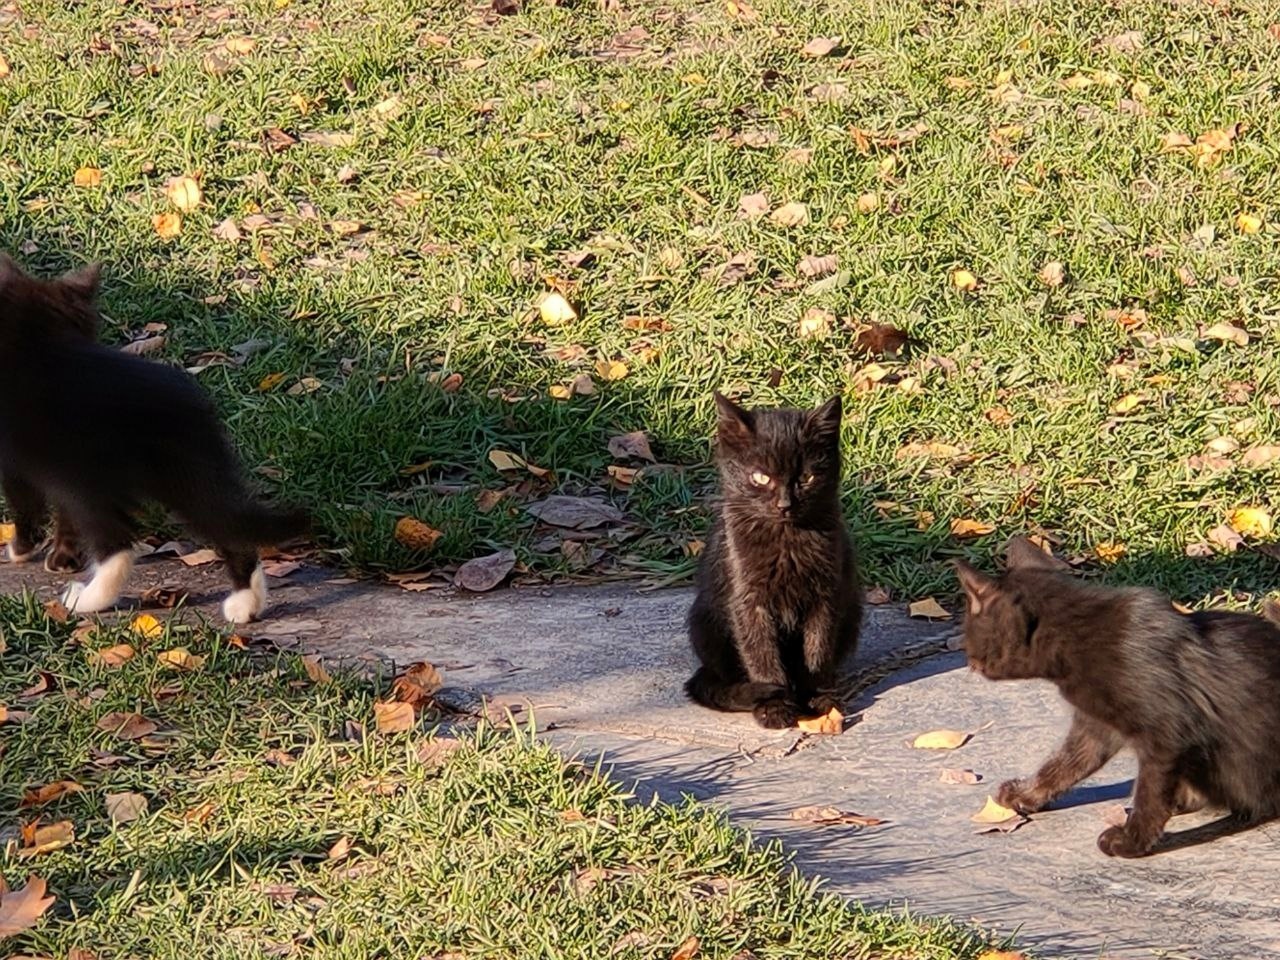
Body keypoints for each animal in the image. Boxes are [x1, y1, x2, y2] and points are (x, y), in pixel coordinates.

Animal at [0, 256, 307, 624]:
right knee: (227, 526)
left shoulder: (20, 461)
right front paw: (62, 557)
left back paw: (86, 599)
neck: (41, 340)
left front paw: (21, 548)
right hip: (194, 474)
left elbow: (26, 505)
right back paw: (245, 606)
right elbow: (62, 516)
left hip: (92, 478)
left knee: (116, 544)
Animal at [686, 391, 865, 727]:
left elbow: (817, 648)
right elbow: (761, 654)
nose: (784, 504)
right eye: (760, 477)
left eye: (806, 477)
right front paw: (775, 706)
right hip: (703, 619)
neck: (787, 542)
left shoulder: (826, 594)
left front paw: (819, 699)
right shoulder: (747, 601)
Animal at [957, 537, 1280, 860]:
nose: (968, 658)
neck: (1080, 633)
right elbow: (1063, 766)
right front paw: (1025, 794)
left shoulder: (1165, 737)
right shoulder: (1094, 727)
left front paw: (1131, 841)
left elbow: (1149, 795)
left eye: (968, 628)